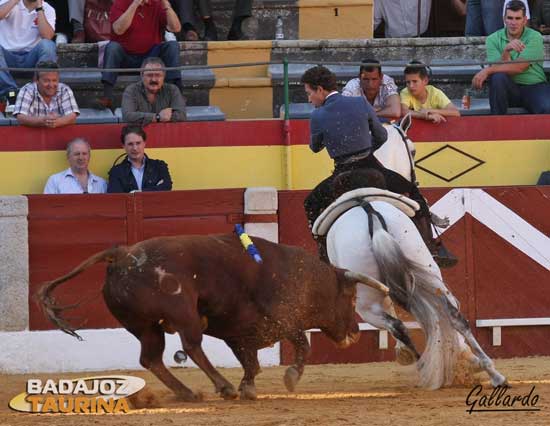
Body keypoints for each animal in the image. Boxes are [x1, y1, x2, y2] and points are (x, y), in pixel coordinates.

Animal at [36, 235, 404, 402]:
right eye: (351, 297)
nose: (354, 332)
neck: (305, 277)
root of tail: (123, 254)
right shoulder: (284, 321)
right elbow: (302, 346)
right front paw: (289, 378)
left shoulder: (241, 333)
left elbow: (251, 362)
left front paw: (249, 388)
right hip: (182, 312)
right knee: (191, 346)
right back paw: (222, 387)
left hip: (144, 326)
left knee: (151, 358)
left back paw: (189, 393)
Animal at [314, 183, 508, 390]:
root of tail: (369, 211)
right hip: (429, 274)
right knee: (455, 317)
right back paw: (494, 374)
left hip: (365, 303)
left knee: (397, 326)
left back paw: (423, 364)